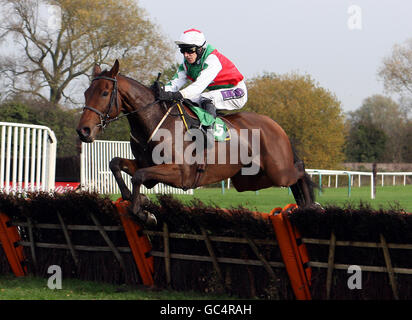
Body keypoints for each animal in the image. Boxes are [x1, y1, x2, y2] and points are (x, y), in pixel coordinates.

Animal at [76, 60, 316, 225]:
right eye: (86, 92)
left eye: (105, 92)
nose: (83, 130)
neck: (156, 122)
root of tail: (276, 125)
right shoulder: (146, 165)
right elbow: (116, 163)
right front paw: (137, 199)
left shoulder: (182, 173)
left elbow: (138, 176)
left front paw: (143, 212)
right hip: (248, 180)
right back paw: (303, 207)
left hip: (277, 171)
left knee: (300, 170)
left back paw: (312, 206)